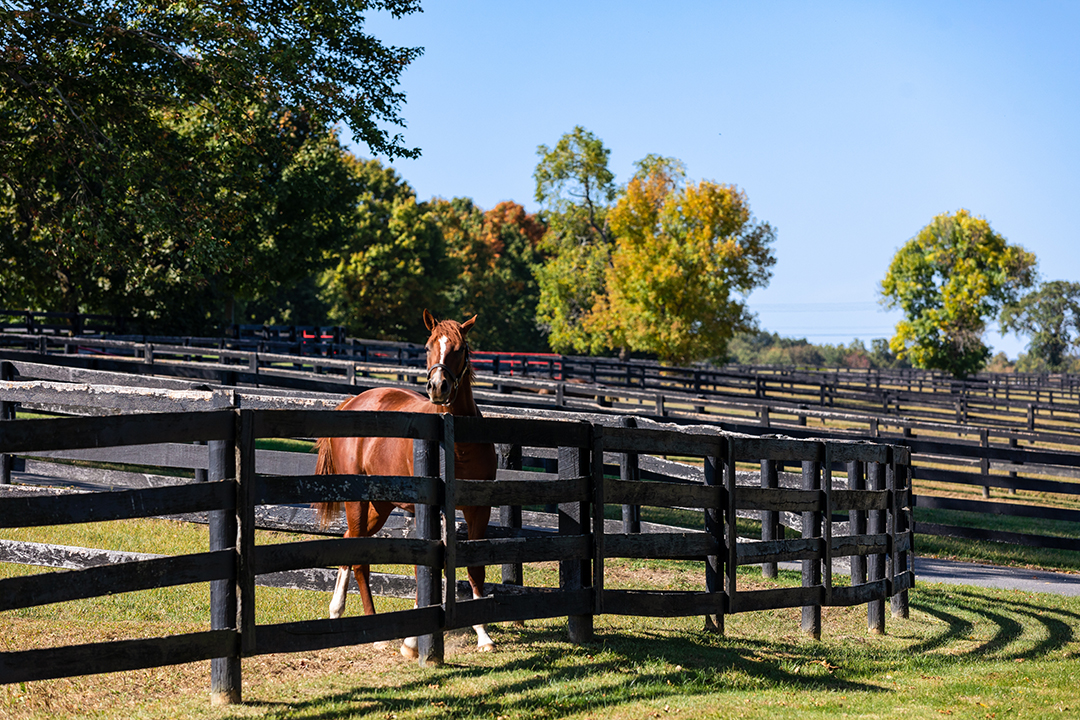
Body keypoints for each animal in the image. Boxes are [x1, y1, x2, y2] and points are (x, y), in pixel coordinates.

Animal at [312, 310, 498, 658]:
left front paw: (483, 635)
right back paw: (374, 631)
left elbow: (474, 568)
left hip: (379, 507)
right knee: (360, 558)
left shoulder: (479, 509)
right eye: (427, 346)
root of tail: (353, 402)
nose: (438, 386)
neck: (455, 444)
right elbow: (426, 570)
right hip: (357, 502)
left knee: (348, 540)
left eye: (461, 348)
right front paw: (412, 642)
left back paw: (336, 610)